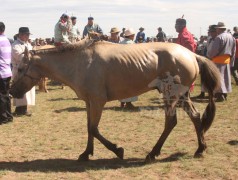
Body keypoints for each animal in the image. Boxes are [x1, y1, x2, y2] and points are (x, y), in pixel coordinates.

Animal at [9, 38, 221, 162]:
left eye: (20, 68)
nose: (11, 92)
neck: (80, 62)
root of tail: (192, 54)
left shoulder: (98, 101)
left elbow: (94, 129)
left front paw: (117, 150)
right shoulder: (89, 102)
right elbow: (89, 129)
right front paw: (86, 153)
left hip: (171, 96)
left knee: (171, 121)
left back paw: (153, 153)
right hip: (182, 96)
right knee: (195, 117)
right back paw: (200, 149)